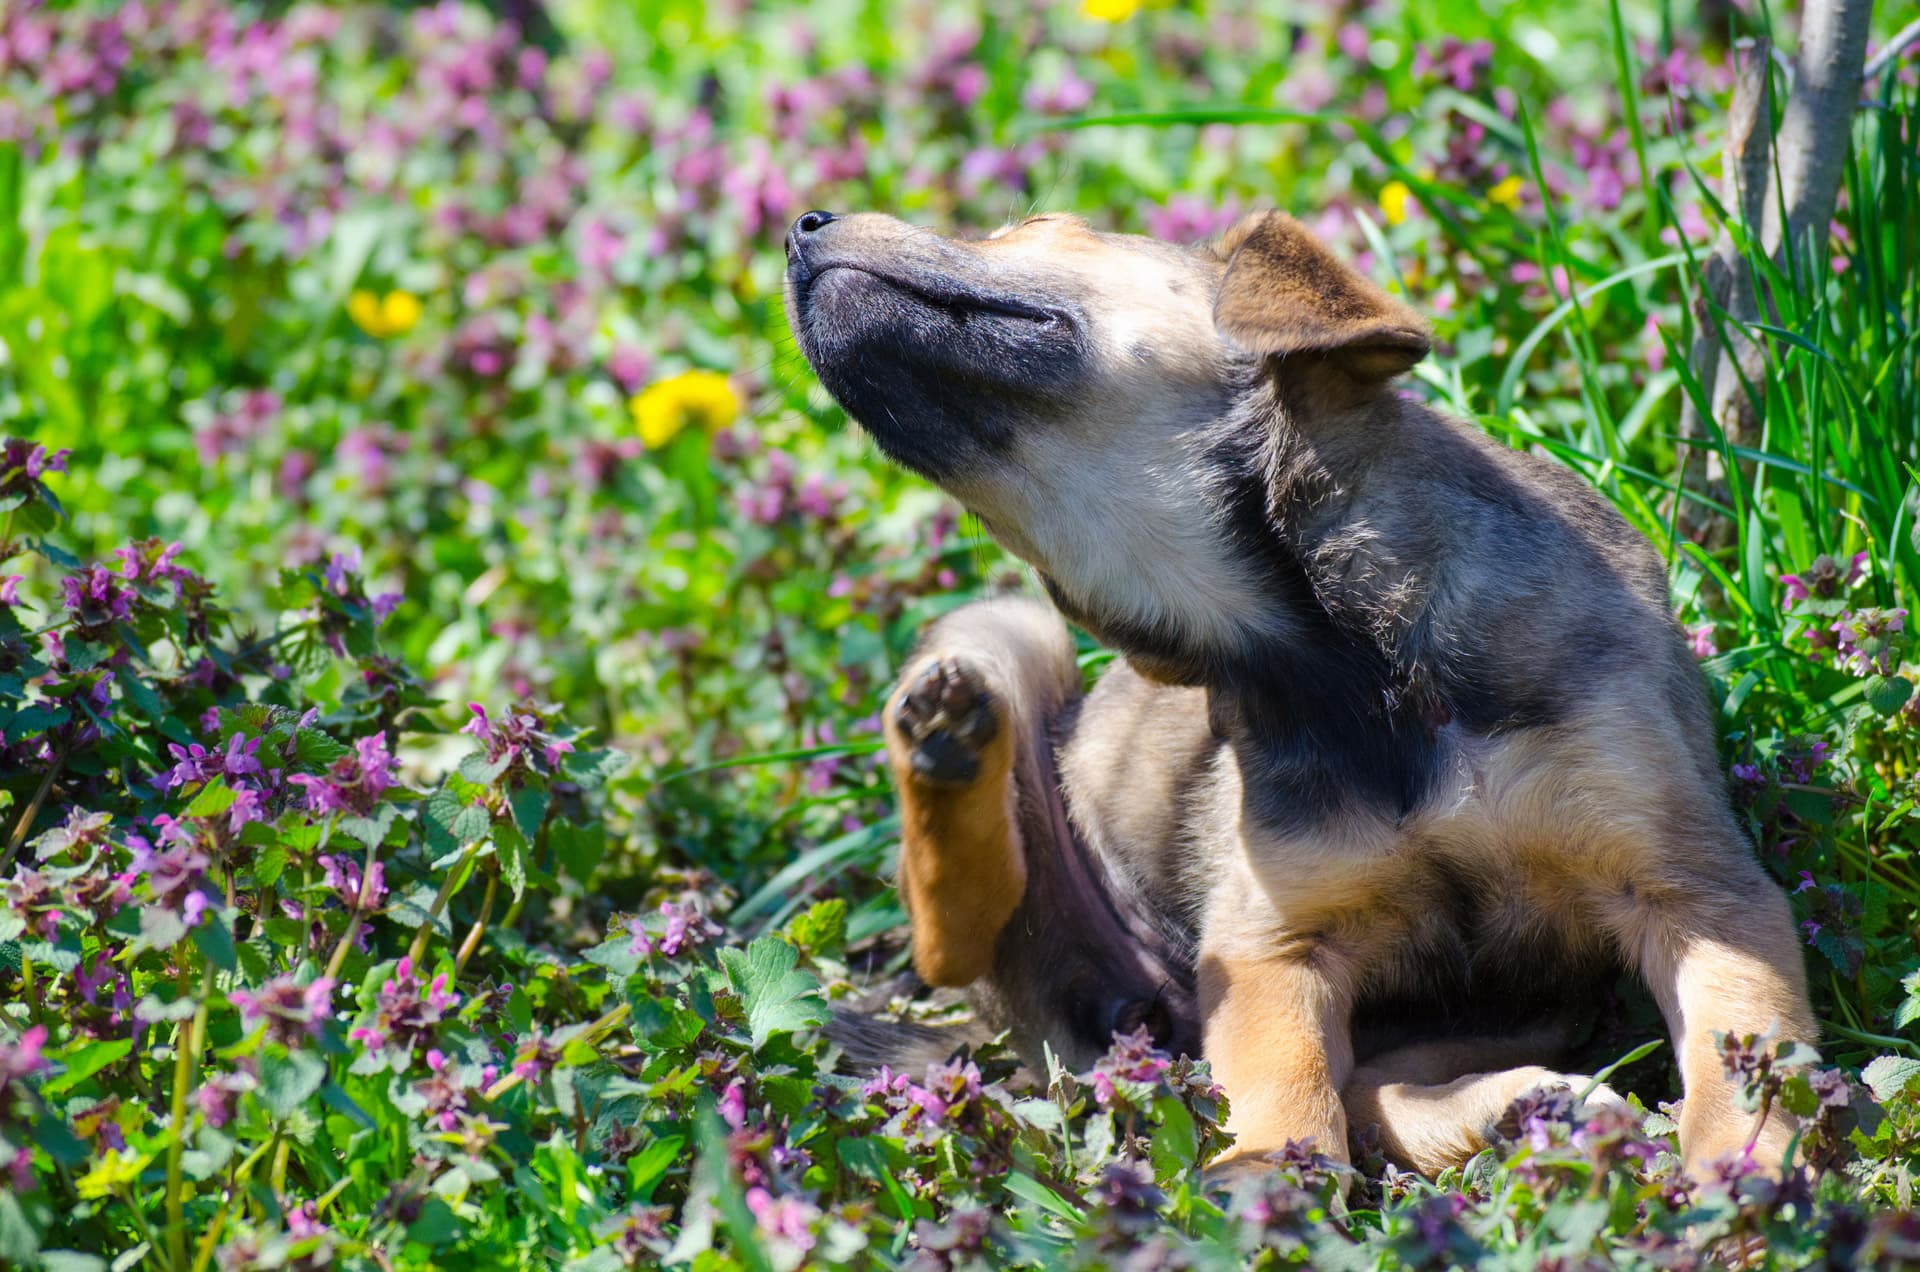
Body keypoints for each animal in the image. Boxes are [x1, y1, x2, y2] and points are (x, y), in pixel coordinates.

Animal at [783, 204, 1812, 1183]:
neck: (1341, 663)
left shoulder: (1696, 892)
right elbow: (1288, 1092)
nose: (798, 230)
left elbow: (1739, 1062)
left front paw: (1741, 1178)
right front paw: (1266, 1190)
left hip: (1532, 1007)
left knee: (1373, 1086)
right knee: (949, 938)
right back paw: (947, 741)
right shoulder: (1270, 948)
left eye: (1037, 227)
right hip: (1010, 632)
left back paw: (1530, 1109)